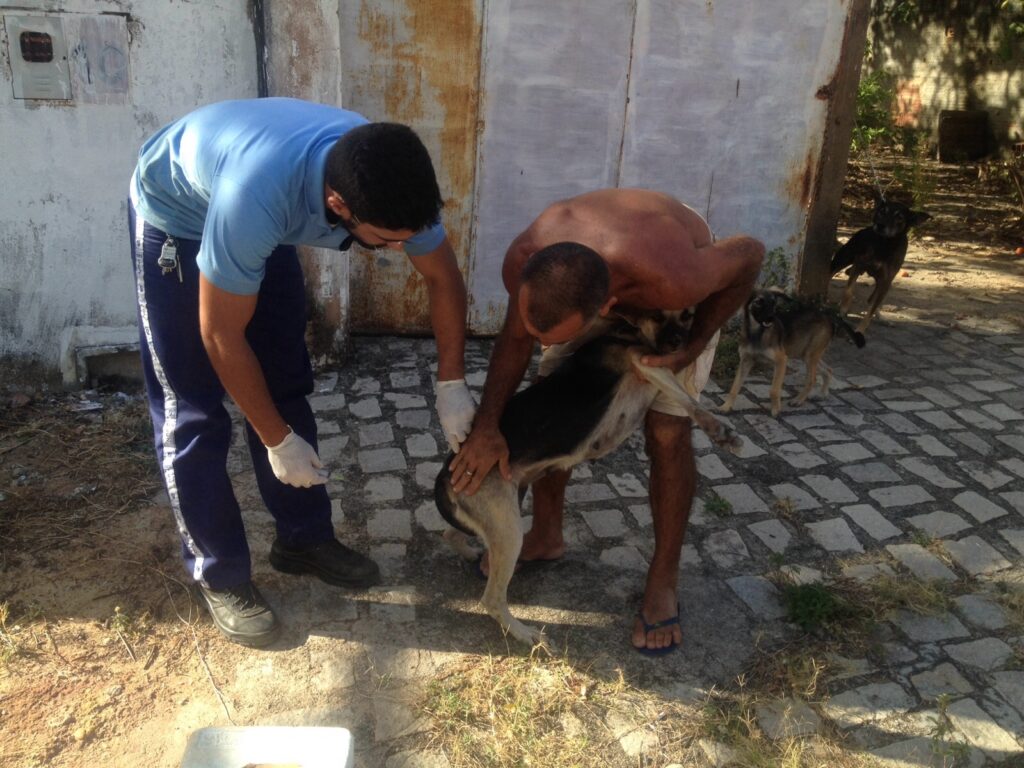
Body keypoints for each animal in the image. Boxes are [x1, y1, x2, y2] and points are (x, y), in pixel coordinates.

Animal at [720, 290, 864, 421]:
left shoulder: (781, 360)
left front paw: (776, 410)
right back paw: (823, 394)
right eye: (758, 302)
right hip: (806, 353)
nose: (771, 317)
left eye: (773, 303)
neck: (757, 333)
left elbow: (774, 390)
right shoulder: (745, 361)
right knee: (828, 369)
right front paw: (726, 407)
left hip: (809, 356)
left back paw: (798, 400)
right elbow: (734, 387)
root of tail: (828, 315)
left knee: (812, 379)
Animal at [831, 190, 929, 333]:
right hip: (842, 259)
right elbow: (849, 291)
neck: (884, 245)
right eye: (882, 212)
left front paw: (860, 330)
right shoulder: (858, 265)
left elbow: (870, 310)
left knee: (872, 300)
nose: (880, 225)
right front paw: (843, 310)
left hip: (882, 283)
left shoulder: (885, 282)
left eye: (900, 217)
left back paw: (881, 317)